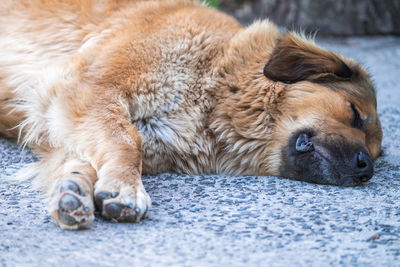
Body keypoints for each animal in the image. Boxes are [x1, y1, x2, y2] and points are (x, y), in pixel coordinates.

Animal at [0, 0, 382, 230]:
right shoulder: (90, 88)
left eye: (376, 153)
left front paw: (75, 190)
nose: (366, 168)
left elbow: (85, 158)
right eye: (354, 113)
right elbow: (126, 141)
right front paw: (125, 187)